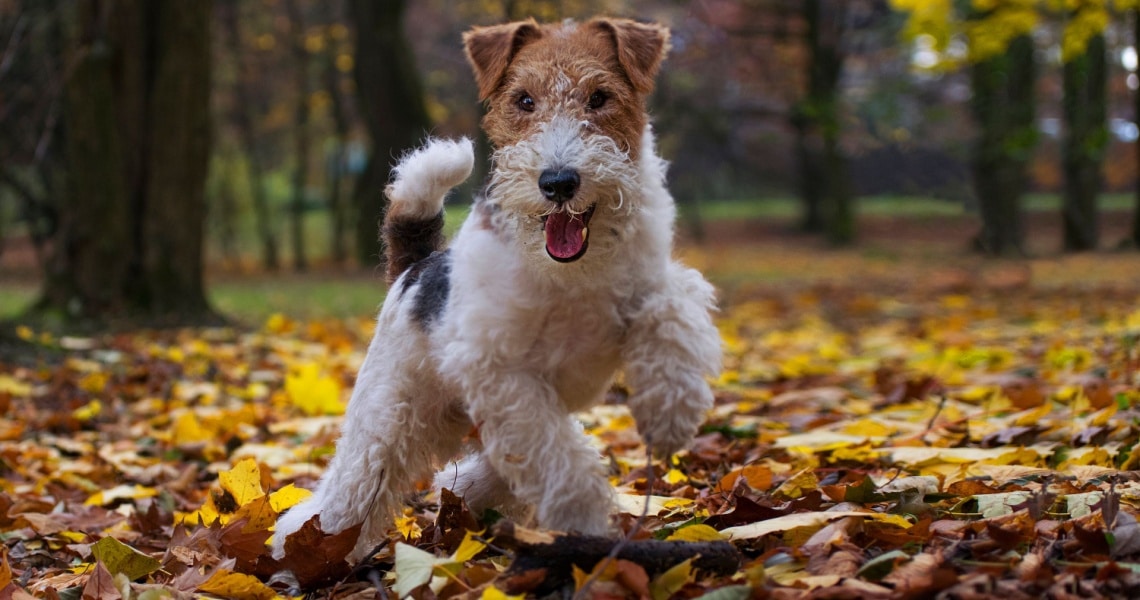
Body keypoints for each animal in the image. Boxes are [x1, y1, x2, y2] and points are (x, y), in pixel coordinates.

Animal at [271, 15, 720, 565]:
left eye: (599, 97)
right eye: (524, 100)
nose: (558, 182)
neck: (571, 276)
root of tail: (415, 267)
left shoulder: (651, 286)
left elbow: (671, 311)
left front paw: (669, 410)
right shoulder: (501, 369)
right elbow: (559, 461)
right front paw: (583, 519)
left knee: (480, 470)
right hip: (389, 417)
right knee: (349, 492)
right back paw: (304, 552)